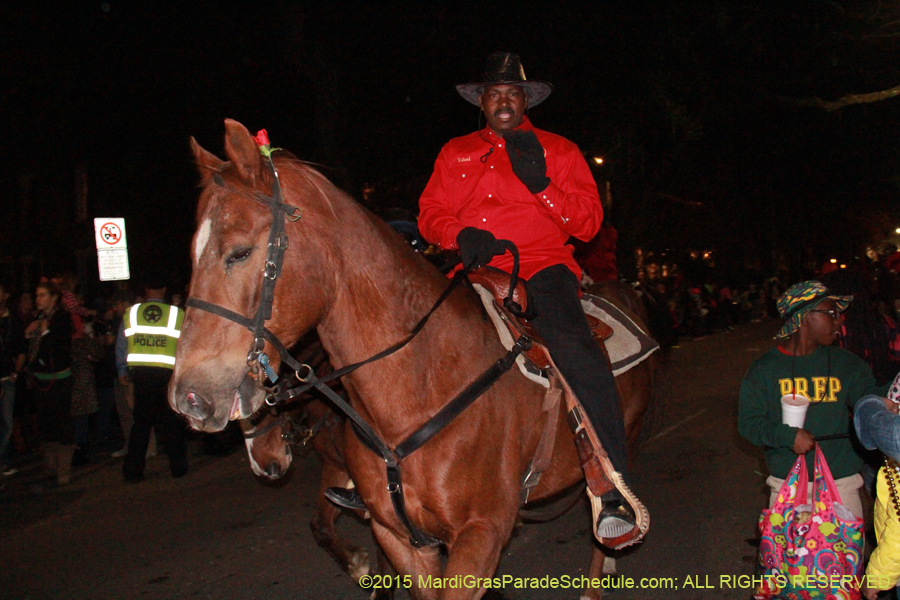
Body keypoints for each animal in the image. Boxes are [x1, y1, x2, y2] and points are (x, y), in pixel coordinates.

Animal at [174, 118, 652, 600]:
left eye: (238, 252)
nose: (190, 398)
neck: (419, 384)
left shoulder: (480, 531)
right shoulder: (398, 535)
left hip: (626, 438)